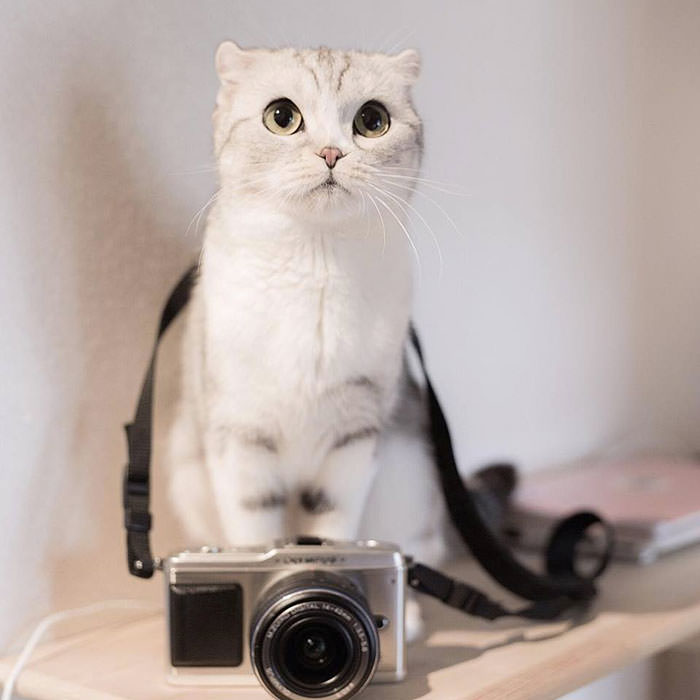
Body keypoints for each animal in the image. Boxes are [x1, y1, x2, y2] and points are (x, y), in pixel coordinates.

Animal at [170, 41, 452, 636]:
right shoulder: (240, 438)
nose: (330, 153)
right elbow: (254, 535)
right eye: (282, 116)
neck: (314, 266)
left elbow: (334, 532)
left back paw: (411, 619)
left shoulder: (354, 438)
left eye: (372, 120)